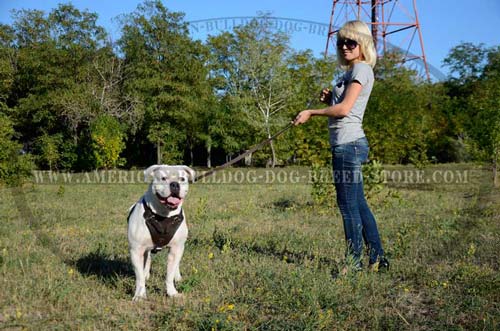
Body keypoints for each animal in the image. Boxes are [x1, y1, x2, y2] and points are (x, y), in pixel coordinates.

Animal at [127, 165, 195, 300]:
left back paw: (177, 277)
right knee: (147, 259)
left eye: (182, 179)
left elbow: (169, 274)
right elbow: (139, 277)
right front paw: (140, 295)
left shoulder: (176, 248)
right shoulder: (136, 250)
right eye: (163, 178)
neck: (164, 215)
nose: (174, 184)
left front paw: (172, 293)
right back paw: (146, 274)